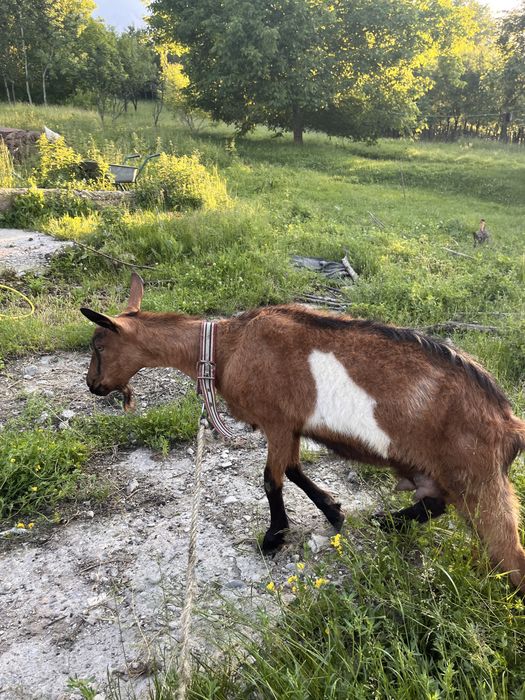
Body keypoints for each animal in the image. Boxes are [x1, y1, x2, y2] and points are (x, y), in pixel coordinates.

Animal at [81, 273, 525, 592]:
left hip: (480, 481)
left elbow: (271, 479)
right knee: (435, 503)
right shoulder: (291, 426)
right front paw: (333, 510)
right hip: (444, 475)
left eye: (98, 346)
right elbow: (293, 470)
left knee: (512, 559)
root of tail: (509, 424)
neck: (224, 347)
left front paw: (273, 536)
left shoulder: (276, 422)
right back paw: (389, 522)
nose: (93, 385)